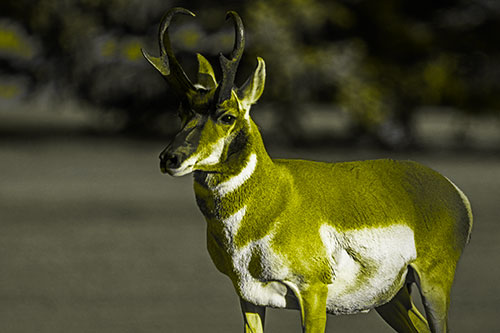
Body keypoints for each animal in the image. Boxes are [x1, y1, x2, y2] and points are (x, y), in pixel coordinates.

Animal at [142, 7, 472, 332]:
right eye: (181, 112)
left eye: (227, 116)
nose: (169, 158)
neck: (274, 197)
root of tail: (450, 188)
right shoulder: (248, 297)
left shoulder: (312, 291)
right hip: (392, 299)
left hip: (432, 281)